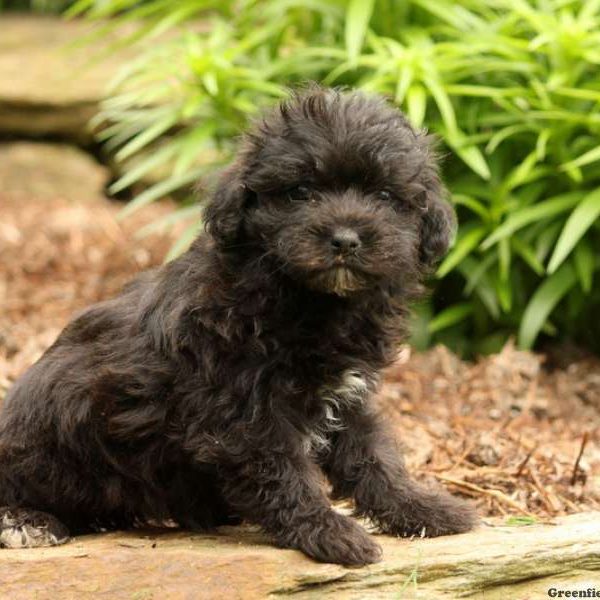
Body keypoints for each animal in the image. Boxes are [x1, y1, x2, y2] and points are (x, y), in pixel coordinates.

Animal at [0, 86, 478, 564]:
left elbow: (372, 457)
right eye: (301, 191)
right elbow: (283, 472)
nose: (345, 239)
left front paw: (421, 509)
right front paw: (329, 532)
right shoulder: (242, 410)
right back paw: (28, 522)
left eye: (383, 195)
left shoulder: (347, 397)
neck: (307, 300)